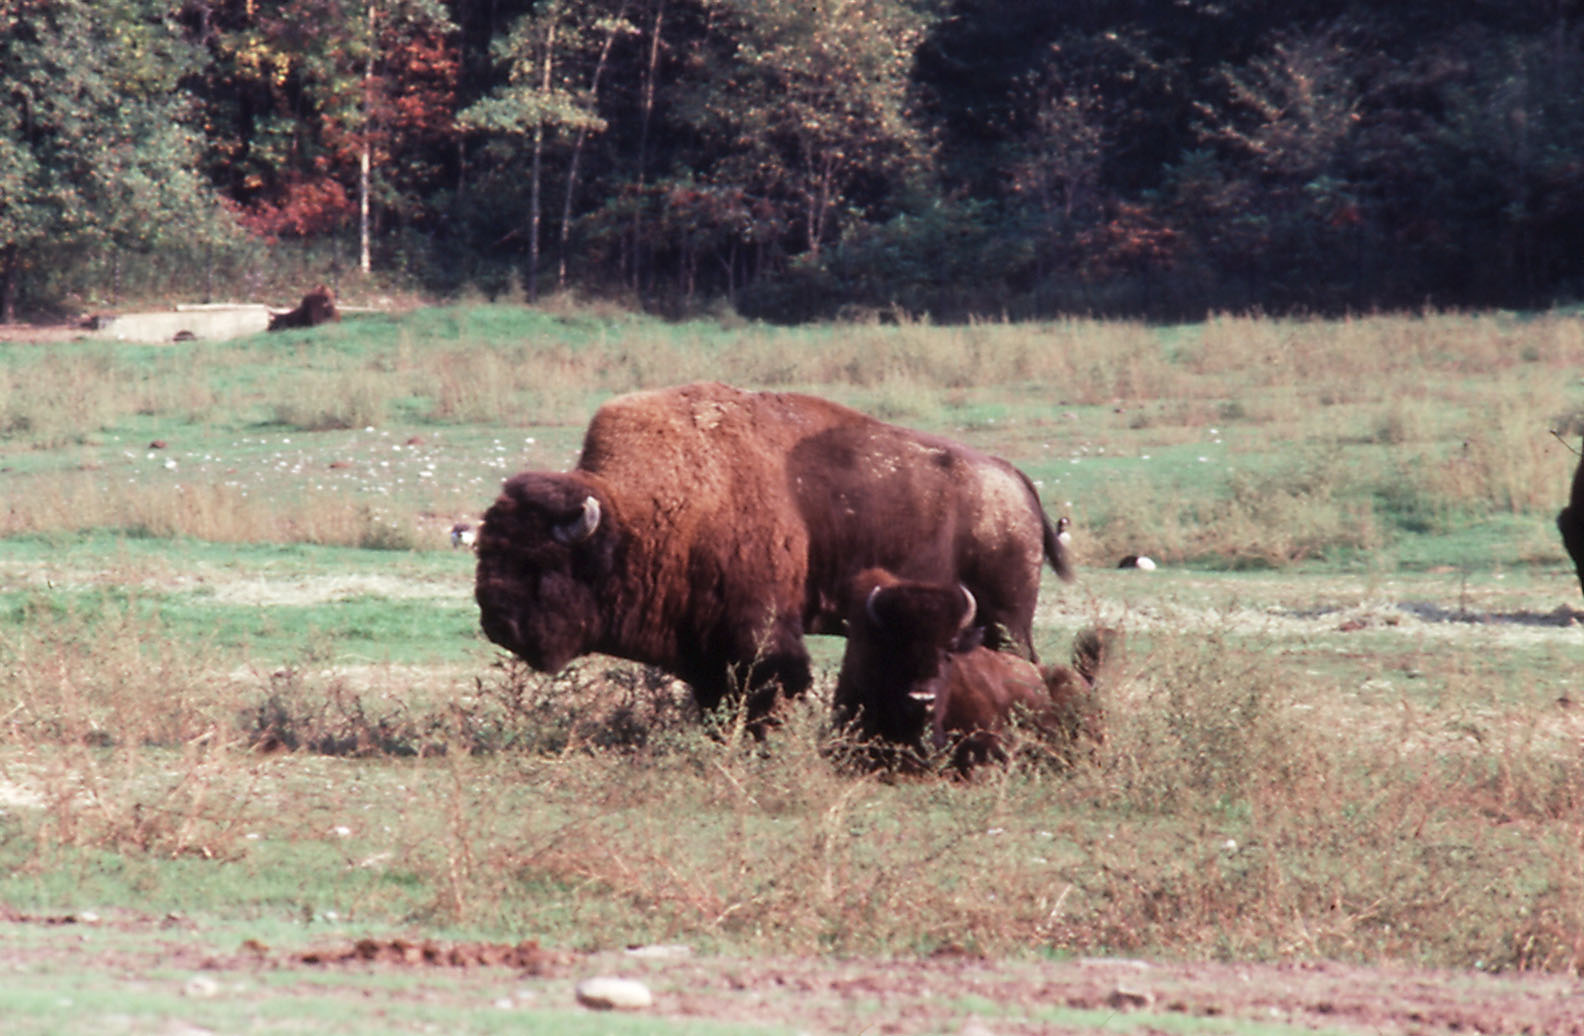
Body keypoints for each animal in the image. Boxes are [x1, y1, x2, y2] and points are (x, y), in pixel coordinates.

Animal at [473, 381, 1073, 728]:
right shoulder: (705, 643)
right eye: (488, 555)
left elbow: (773, 685)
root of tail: (1012, 478)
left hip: (1004, 617)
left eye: (542, 564)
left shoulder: (759, 630)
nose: (496, 620)